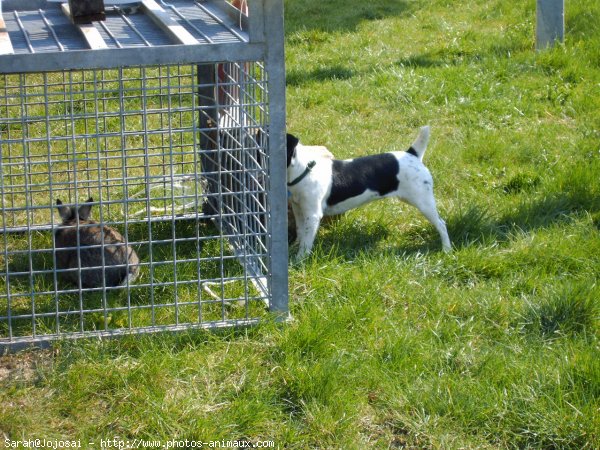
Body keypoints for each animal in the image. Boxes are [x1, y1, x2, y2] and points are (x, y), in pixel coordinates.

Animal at [286, 126, 450, 260]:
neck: (304, 170)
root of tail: (412, 155)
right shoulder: (298, 209)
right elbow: (300, 232)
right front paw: (294, 249)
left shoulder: (313, 215)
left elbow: (306, 242)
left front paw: (299, 260)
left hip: (423, 202)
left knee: (441, 224)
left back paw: (446, 249)